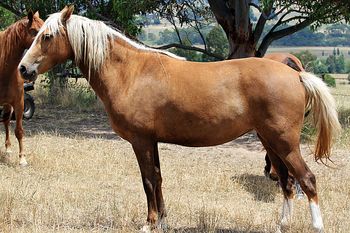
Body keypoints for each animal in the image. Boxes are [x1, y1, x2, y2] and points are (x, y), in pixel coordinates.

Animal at [0, 11, 43, 166]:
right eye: (34, 31)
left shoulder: (19, 103)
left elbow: (19, 131)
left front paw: (22, 158)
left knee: (6, 121)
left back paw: (8, 149)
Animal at [18, 6, 340, 232]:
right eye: (35, 33)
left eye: (46, 36)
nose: (23, 69)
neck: (131, 72)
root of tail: (296, 75)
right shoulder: (152, 141)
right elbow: (158, 179)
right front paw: (162, 221)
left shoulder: (141, 141)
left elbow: (148, 180)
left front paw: (149, 223)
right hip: (270, 142)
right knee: (286, 183)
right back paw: (282, 224)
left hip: (284, 142)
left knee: (307, 180)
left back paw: (316, 225)